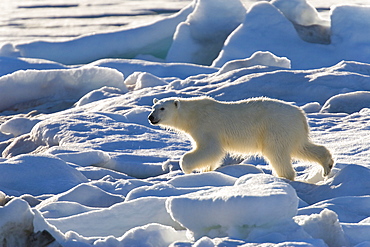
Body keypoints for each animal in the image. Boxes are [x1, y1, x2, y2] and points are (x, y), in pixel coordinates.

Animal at [149, 96, 334, 179]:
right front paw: (207, 170)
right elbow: (212, 155)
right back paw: (327, 165)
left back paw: (283, 177)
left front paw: (187, 169)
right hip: (291, 131)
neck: (193, 114)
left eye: (162, 108)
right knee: (301, 147)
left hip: (275, 128)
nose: (151, 117)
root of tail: (301, 115)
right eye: (153, 107)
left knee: (276, 153)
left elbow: (211, 149)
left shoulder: (206, 126)